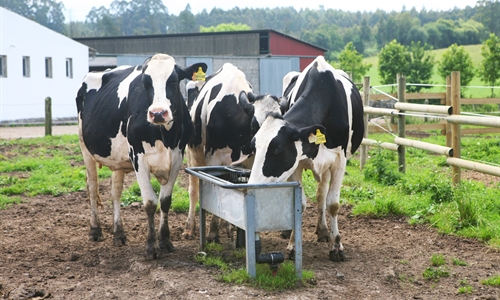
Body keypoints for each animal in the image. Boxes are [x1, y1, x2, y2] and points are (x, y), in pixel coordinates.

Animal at [75, 54, 207, 260]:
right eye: (145, 82)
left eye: (173, 80)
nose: (158, 113)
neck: (164, 135)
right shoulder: (139, 159)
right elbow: (150, 203)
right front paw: (151, 247)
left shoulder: (177, 158)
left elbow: (165, 201)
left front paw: (165, 241)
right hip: (85, 147)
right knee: (92, 187)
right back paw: (95, 230)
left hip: (118, 160)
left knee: (115, 192)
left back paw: (118, 233)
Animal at [184, 63, 282, 241]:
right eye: (255, 124)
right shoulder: (213, 158)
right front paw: (213, 231)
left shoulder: (250, 161)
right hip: (192, 153)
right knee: (193, 189)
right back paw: (190, 228)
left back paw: (227, 228)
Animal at [249, 55, 364, 262]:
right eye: (254, 145)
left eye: (277, 149)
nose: (252, 186)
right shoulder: (296, 164)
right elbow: (299, 204)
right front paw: (293, 246)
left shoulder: (339, 161)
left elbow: (333, 203)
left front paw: (337, 246)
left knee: (321, 194)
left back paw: (323, 230)